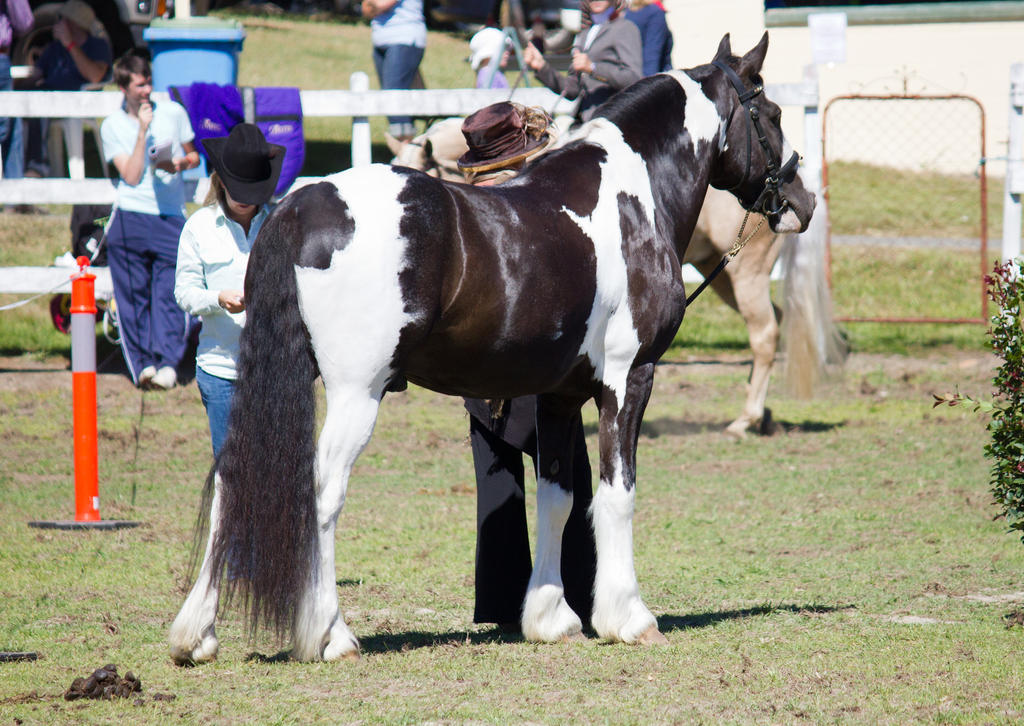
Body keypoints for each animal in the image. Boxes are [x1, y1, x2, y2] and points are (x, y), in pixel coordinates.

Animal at [174, 34, 815, 663]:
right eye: (772, 114)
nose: (803, 201)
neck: (631, 198)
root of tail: (299, 208)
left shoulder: (560, 396)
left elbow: (558, 498)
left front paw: (552, 619)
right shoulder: (628, 378)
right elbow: (617, 494)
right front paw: (629, 619)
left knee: (232, 480)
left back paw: (195, 636)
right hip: (356, 392)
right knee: (321, 493)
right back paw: (330, 637)